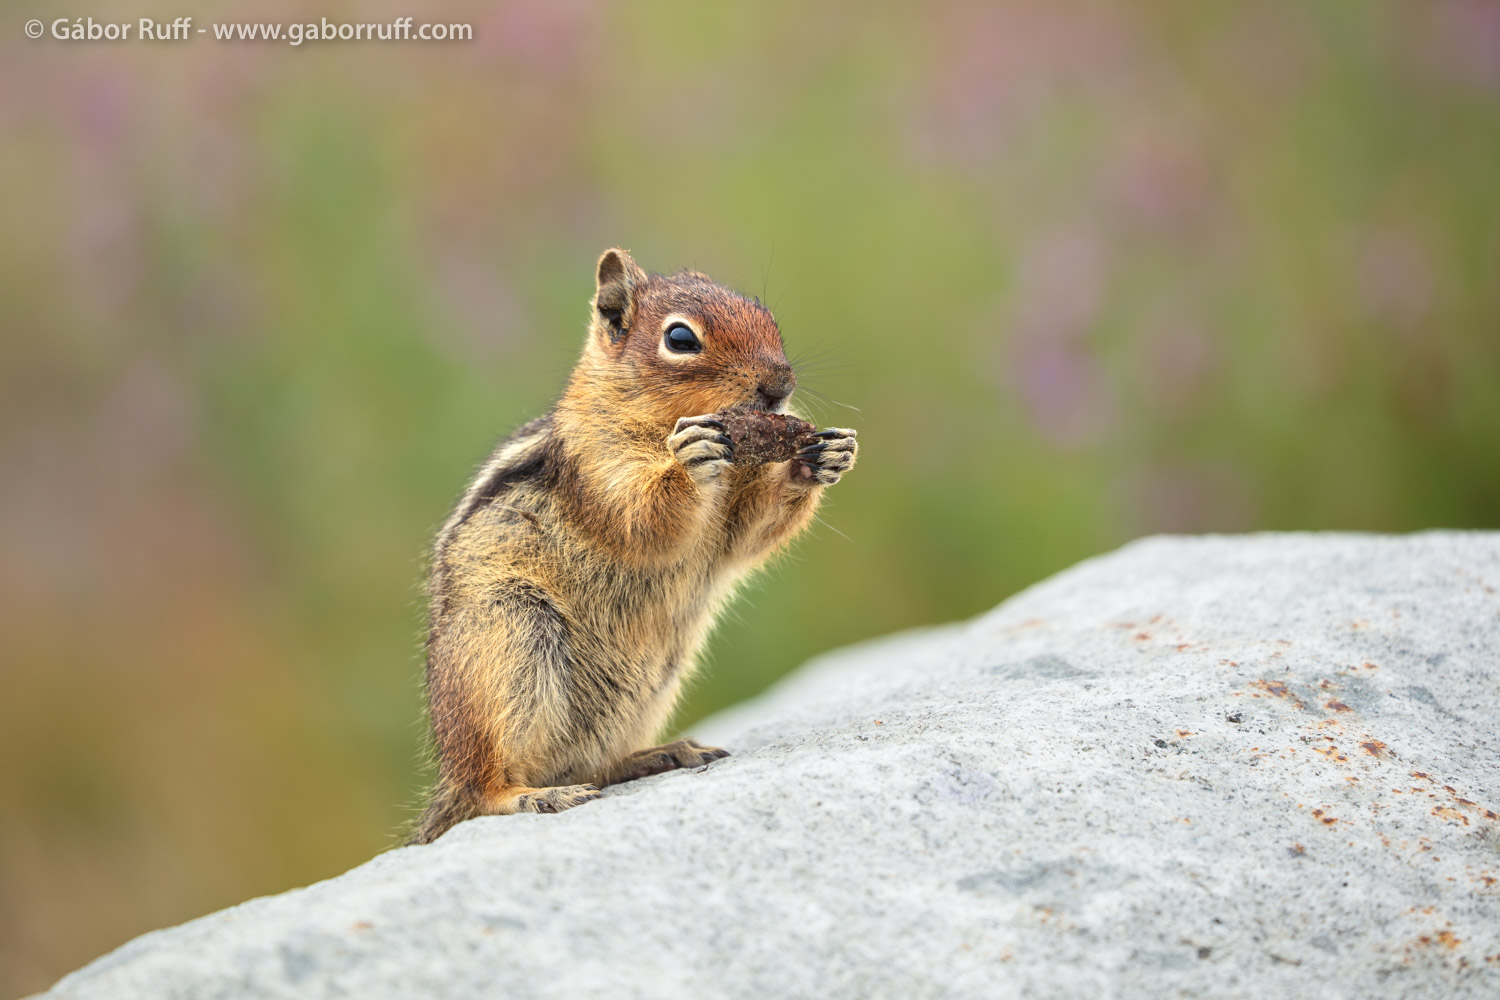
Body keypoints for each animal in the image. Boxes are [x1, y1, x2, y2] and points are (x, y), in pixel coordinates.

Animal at [409, 248, 858, 844]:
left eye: (768, 318)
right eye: (681, 339)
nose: (780, 385)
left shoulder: (733, 515)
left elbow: (748, 535)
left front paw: (821, 457)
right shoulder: (599, 466)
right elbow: (642, 518)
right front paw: (690, 459)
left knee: (587, 764)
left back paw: (659, 755)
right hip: (509, 636)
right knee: (488, 788)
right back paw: (531, 795)